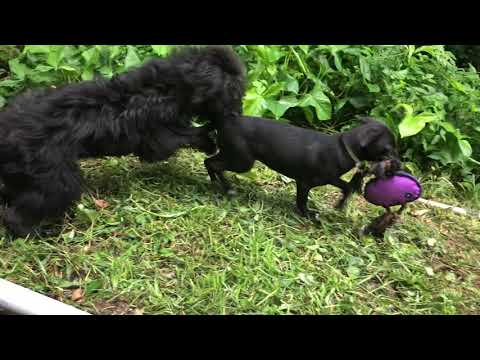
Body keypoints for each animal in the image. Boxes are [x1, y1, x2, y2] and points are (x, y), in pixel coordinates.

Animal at [0, 45, 246, 236]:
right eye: (234, 92)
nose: (238, 114)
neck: (170, 86)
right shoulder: (157, 136)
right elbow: (182, 137)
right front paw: (209, 138)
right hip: (55, 179)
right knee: (18, 214)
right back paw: (36, 233)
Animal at [204, 115, 400, 218]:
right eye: (388, 150)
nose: (399, 165)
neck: (343, 148)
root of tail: (225, 120)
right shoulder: (307, 182)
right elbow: (304, 201)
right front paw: (310, 215)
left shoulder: (312, 181)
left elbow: (345, 186)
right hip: (241, 161)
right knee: (213, 164)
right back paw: (226, 188)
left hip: (233, 155)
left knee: (209, 162)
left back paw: (216, 182)